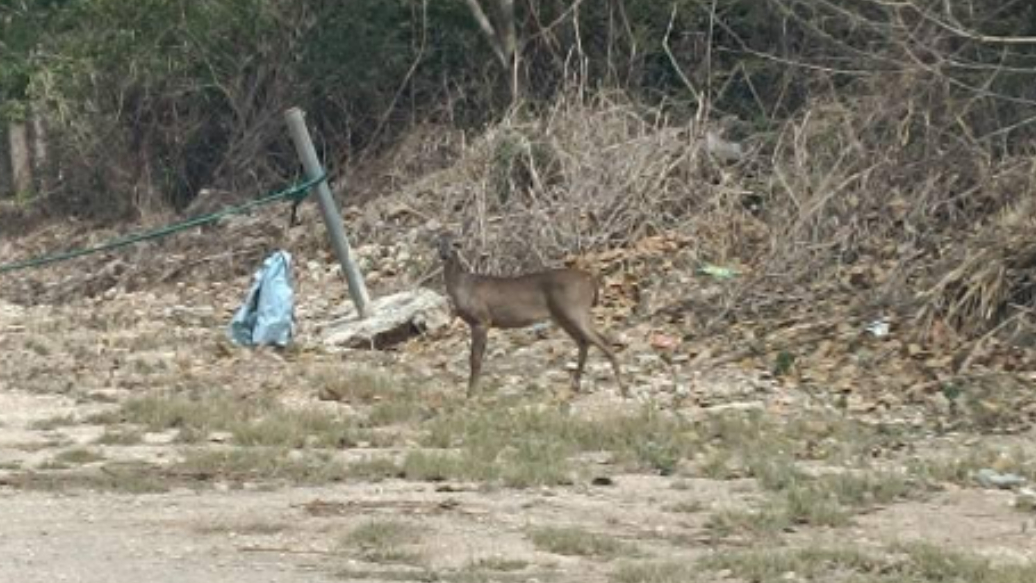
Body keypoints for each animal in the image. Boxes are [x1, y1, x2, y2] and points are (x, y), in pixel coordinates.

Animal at [437, 235, 621, 399]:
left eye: (455, 244)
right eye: (437, 243)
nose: (444, 255)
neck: (462, 286)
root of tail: (590, 280)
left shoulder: (481, 320)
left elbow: (475, 360)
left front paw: (471, 395)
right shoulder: (478, 323)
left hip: (576, 309)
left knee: (602, 341)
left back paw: (623, 389)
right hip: (563, 316)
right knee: (584, 343)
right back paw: (575, 386)